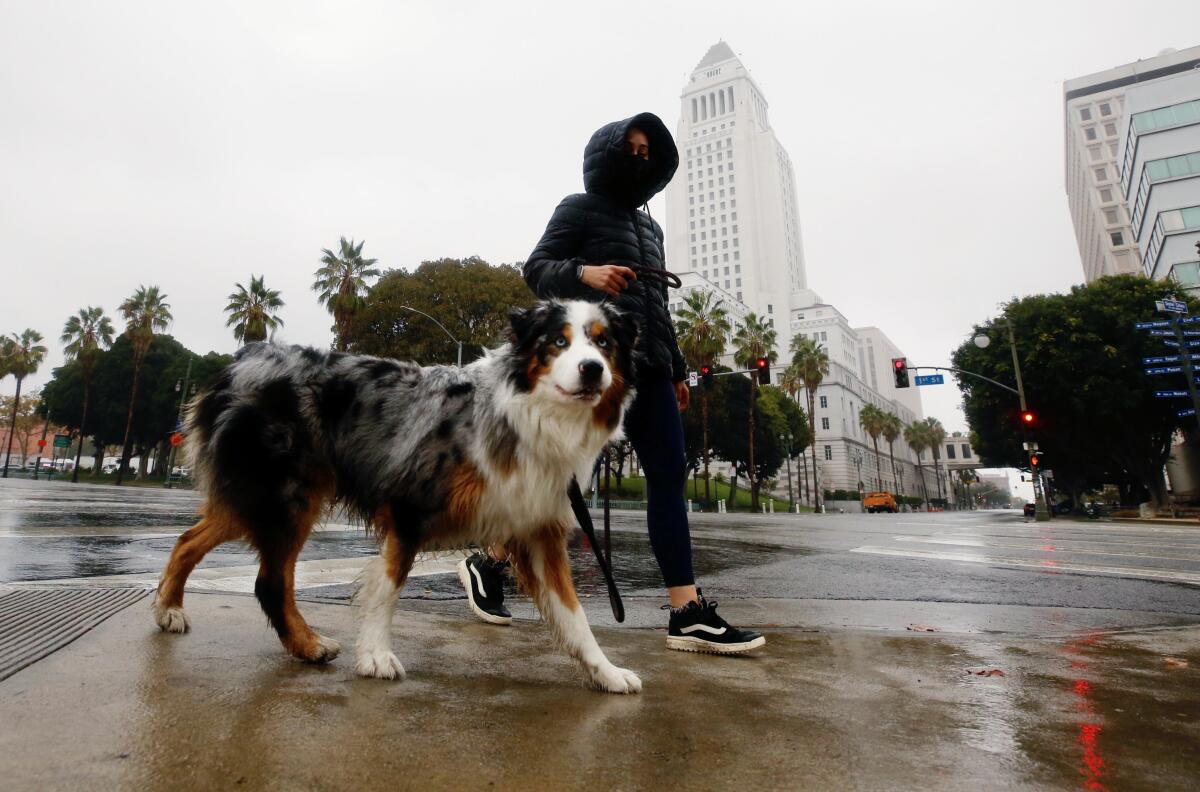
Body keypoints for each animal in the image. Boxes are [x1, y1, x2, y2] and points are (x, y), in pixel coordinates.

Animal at [152, 301, 648, 691]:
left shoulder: (538, 528)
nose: (592, 369)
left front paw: (606, 672)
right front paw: (375, 655)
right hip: (286, 497)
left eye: (604, 344)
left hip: (263, 498)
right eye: (559, 342)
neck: (529, 414)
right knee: (270, 581)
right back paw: (308, 645)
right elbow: (388, 586)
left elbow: (574, 614)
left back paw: (169, 609)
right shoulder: (411, 504)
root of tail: (241, 362)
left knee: (188, 540)